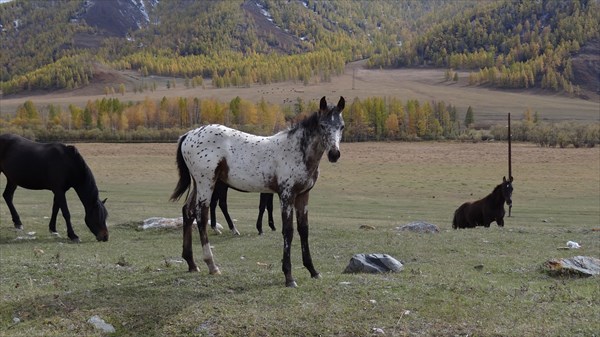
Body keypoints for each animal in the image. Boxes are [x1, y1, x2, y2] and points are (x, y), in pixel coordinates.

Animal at [171, 96, 344, 284]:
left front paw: (313, 270)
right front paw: (289, 276)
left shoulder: (303, 195)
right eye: (322, 125)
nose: (334, 154)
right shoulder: (287, 195)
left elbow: (303, 230)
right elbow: (288, 231)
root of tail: (188, 135)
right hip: (206, 183)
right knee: (201, 216)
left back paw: (191, 263)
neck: (296, 151)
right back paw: (212, 265)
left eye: (341, 126)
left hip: (199, 183)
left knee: (188, 212)